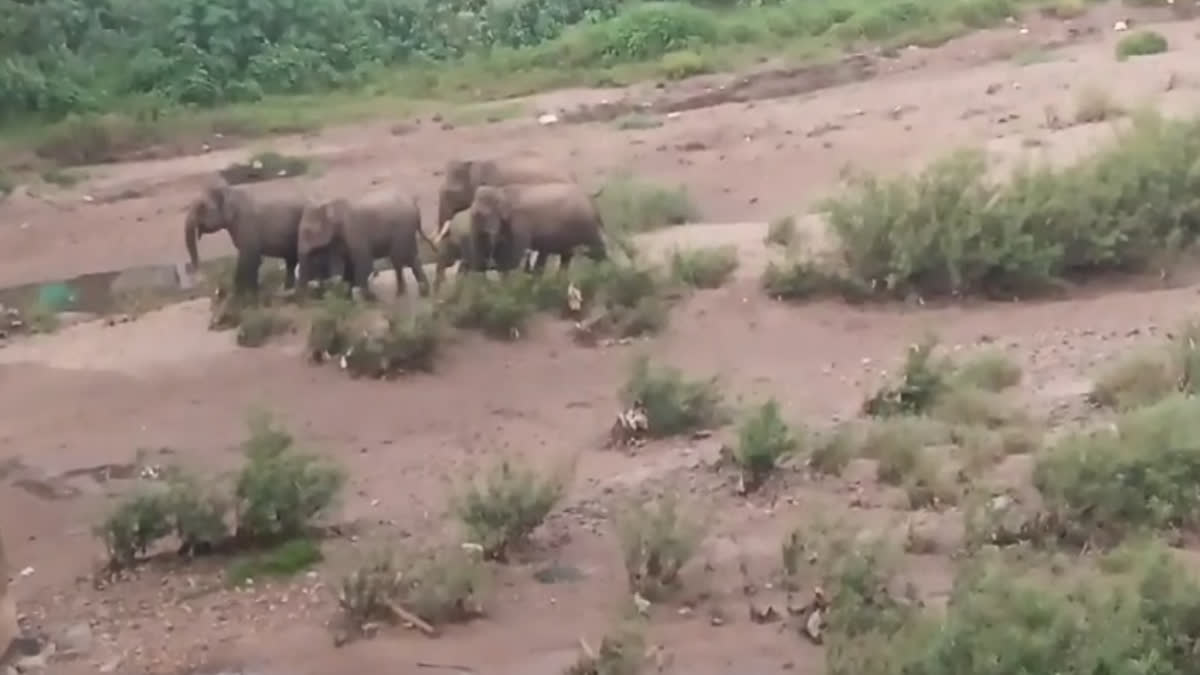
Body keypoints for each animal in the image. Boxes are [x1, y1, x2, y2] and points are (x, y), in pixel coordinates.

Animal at [297, 186, 439, 296]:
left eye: (308, 231)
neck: (329, 202)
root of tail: (415, 206)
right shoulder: (336, 239)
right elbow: (338, 264)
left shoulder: (355, 232)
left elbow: (363, 262)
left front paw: (369, 298)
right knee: (409, 258)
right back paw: (418, 293)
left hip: (403, 229)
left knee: (400, 258)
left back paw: (407, 293)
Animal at [463, 182, 604, 275]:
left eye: (481, 215)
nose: (487, 267)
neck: (502, 191)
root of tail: (591, 201)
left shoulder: (520, 222)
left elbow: (515, 251)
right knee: (567, 255)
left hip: (586, 223)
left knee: (596, 248)